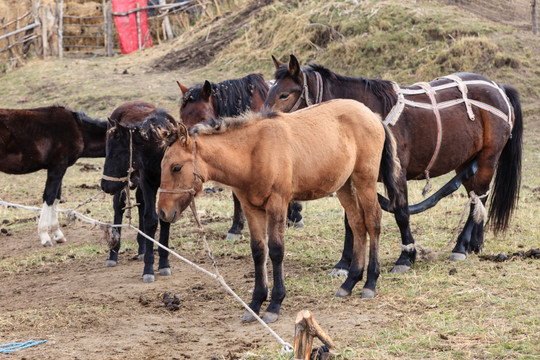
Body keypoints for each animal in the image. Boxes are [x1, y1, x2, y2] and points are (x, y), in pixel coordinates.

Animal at [0, 105, 107, 246]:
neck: (77, 129)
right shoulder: (57, 166)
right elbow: (49, 196)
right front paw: (45, 236)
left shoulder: (60, 168)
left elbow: (56, 197)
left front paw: (58, 234)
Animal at [100, 100, 177, 282]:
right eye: (107, 152)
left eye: (116, 154)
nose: (104, 185)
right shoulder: (148, 183)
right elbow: (150, 220)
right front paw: (148, 269)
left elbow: (164, 218)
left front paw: (164, 264)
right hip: (124, 184)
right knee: (119, 206)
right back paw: (113, 254)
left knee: (140, 203)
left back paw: (142, 249)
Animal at [154, 99, 402, 324]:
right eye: (161, 166)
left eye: (176, 167)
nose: (163, 213)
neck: (252, 153)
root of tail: (373, 116)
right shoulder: (251, 208)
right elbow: (258, 251)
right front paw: (255, 304)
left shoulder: (277, 204)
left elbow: (276, 250)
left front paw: (275, 304)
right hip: (344, 186)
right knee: (357, 223)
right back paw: (349, 282)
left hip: (364, 181)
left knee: (373, 221)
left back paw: (370, 283)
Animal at [266, 54, 524, 272]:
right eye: (269, 92)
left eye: (284, 94)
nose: (265, 121)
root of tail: (498, 87)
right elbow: (351, 219)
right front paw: (345, 262)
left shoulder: (397, 174)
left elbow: (401, 212)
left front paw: (406, 257)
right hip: (467, 159)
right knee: (477, 197)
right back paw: (474, 243)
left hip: (488, 157)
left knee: (477, 197)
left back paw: (460, 246)